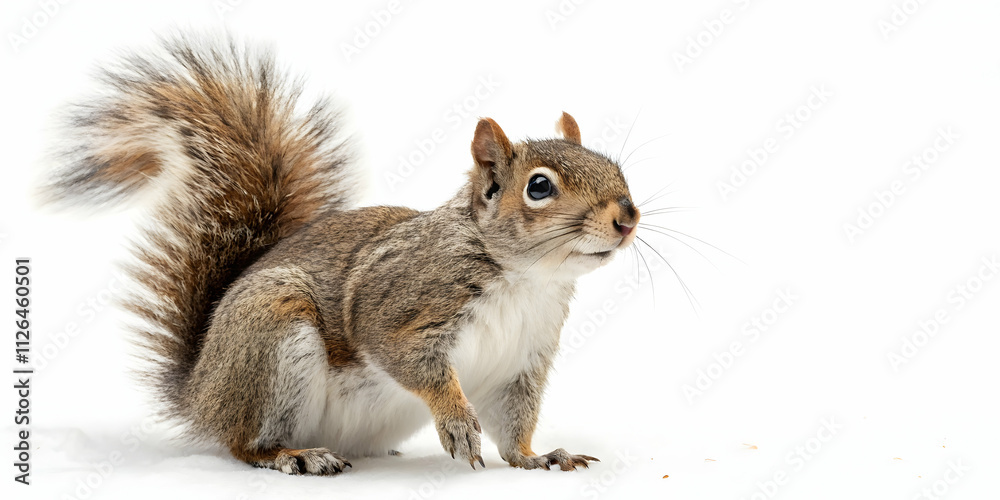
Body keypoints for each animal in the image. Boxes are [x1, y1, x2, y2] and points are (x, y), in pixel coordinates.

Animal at [44, 35, 640, 475]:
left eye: (613, 165)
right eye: (539, 187)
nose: (627, 216)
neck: (526, 278)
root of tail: (200, 391)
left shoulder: (523, 360)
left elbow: (514, 422)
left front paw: (538, 457)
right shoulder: (401, 303)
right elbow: (407, 358)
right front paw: (456, 422)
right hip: (272, 335)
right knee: (244, 445)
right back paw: (296, 455)